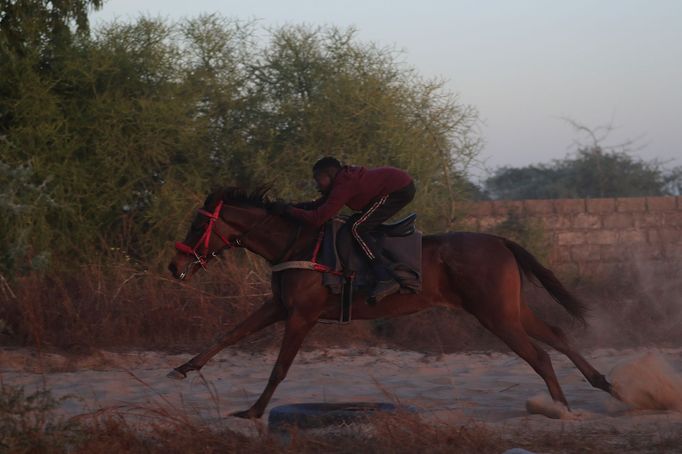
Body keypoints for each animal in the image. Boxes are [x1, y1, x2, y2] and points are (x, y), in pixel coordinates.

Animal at [167, 187, 612, 418]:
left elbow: (279, 368)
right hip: (509, 308)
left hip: (495, 314)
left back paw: (562, 408)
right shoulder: (279, 307)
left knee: (540, 354)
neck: (297, 244)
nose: (174, 266)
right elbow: (229, 335)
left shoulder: (302, 316)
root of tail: (500, 240)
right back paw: (600, 385)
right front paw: (183, 369)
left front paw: (254, 412)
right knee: (557, 336)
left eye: (197, 224)